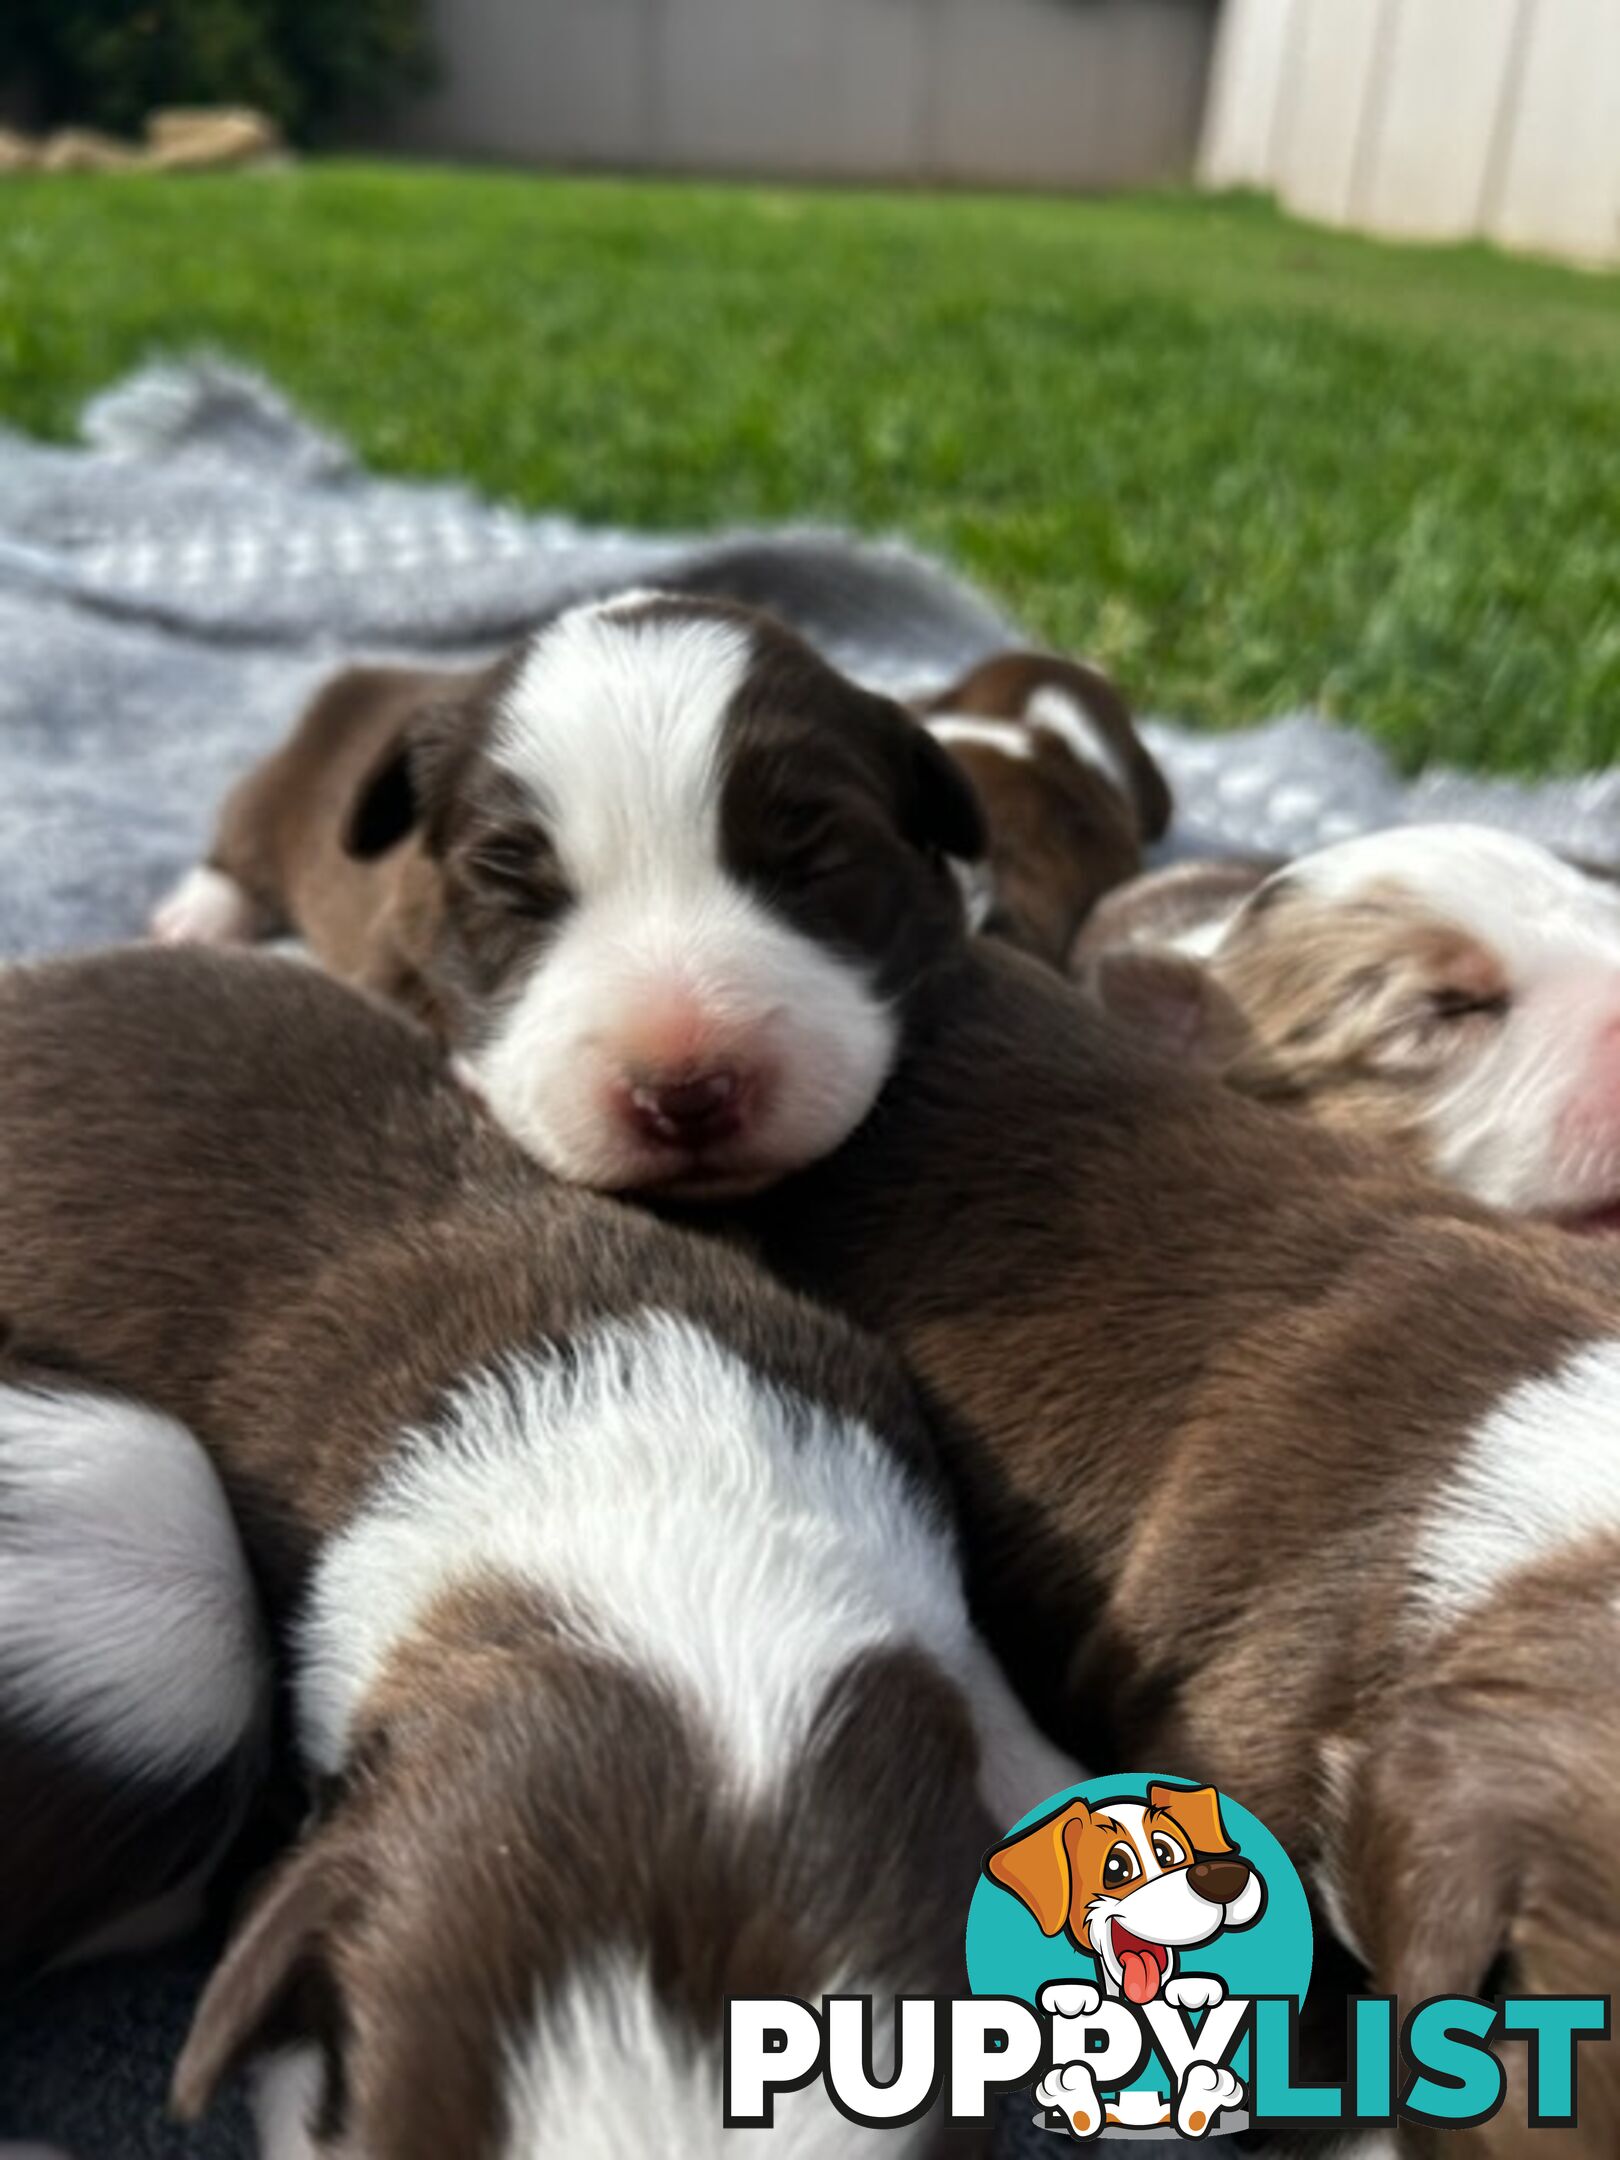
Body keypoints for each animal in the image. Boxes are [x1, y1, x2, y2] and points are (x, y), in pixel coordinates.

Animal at [155, 591, 989, 1200]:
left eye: (817, 863)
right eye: (516, 891)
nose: (686, 1097)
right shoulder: (388, 934)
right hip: (280, 789)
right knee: (237, 845)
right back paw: (196, 919)